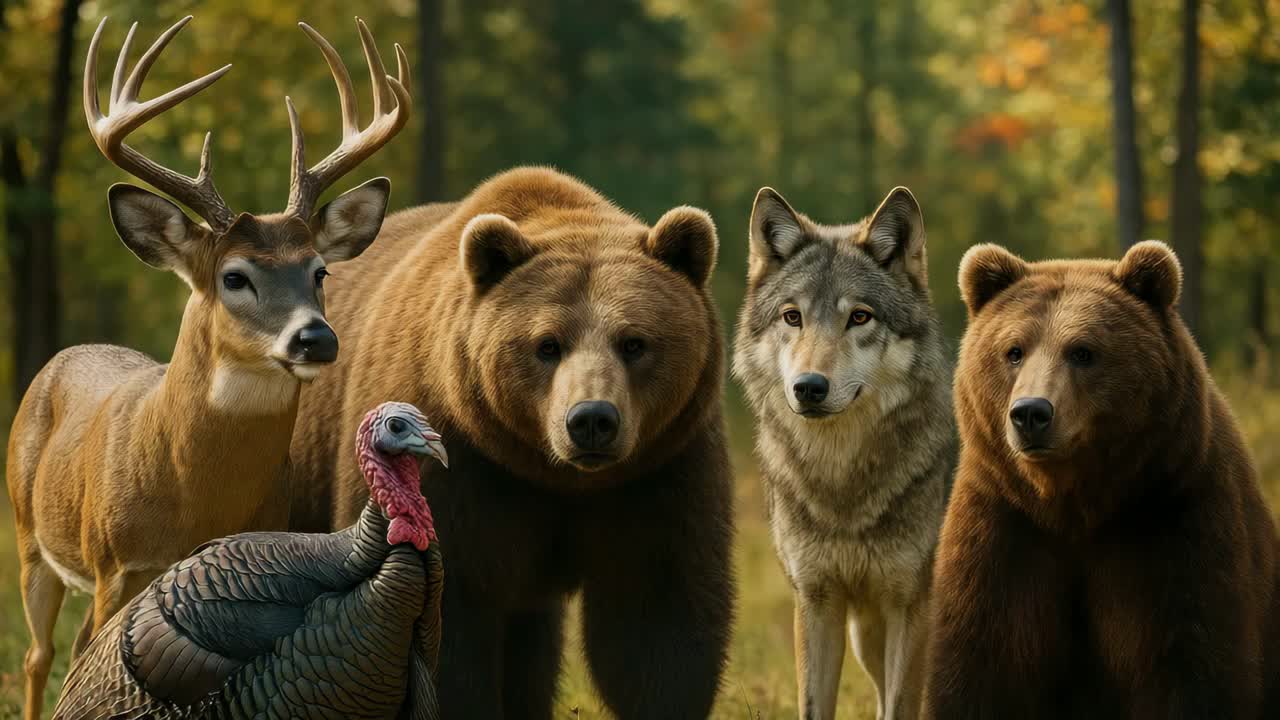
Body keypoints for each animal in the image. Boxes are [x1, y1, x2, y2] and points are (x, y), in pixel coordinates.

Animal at [5, 15, 412, 720]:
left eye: (320, 271)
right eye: (235, 276)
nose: (316, 338)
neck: (194, 495)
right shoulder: (117, 565)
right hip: (30, 535)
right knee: (39, 656)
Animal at [287, 166, 736, 719]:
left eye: (634, 342)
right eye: (547, 344)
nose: (591, 419)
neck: (552, 473)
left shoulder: (661, 469)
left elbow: (658, 625)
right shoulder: (457, 468)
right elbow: (447, 628)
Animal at [733, 186, 956, 720]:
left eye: (859, 316)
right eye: (792, 317)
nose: (809, 387)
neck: (842, 483)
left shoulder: (911, 607)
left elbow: (900, 708)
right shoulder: (816, 604)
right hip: (865, 637)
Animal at [924, 240, 1280, 719]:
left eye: (1083, 351)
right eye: (1014, 350)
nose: (1031, 413)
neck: (1073, 502)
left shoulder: (1174, 519)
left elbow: (1194, 667)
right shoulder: (1004, 529)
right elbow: (981, 670)